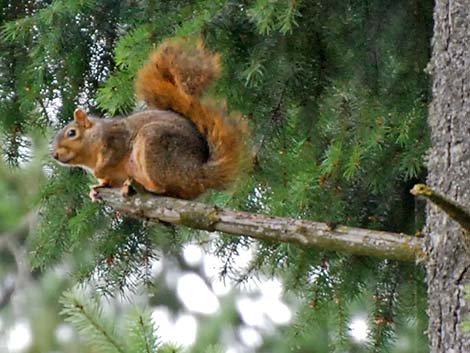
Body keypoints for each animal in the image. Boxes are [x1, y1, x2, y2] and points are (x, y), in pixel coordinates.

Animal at [52, 38, 250, 199]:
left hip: (156, 145)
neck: (90, 155)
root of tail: (198, 174)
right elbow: (108, 181)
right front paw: (97, 187)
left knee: (165, 188)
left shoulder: (115, 137)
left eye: (72, 133)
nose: (55, 155)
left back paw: (145, 186)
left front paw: (100, 172)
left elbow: (113, 155)